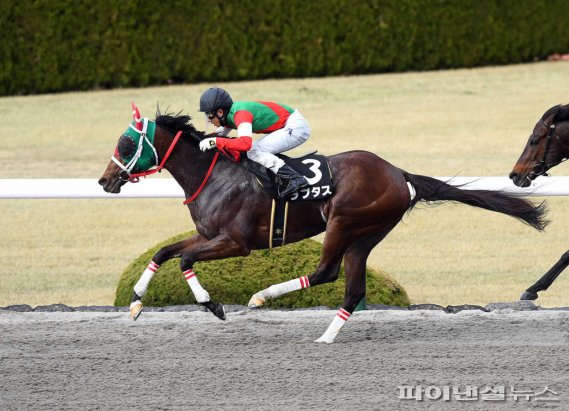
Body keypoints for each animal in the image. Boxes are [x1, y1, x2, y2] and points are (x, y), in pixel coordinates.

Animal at [100, 104, 548, 342]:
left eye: (126, 143)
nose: (105, 181)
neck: (215, 174)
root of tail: (398, 173)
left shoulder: (236, 242)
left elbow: (185, 261)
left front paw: (213, 305)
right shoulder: (207, 234)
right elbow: (164, 252)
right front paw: (136, 303)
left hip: (344, 223)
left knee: (325, 272)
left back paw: (261, 296)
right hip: (366, 236)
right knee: (352, 288)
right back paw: (328, 334)